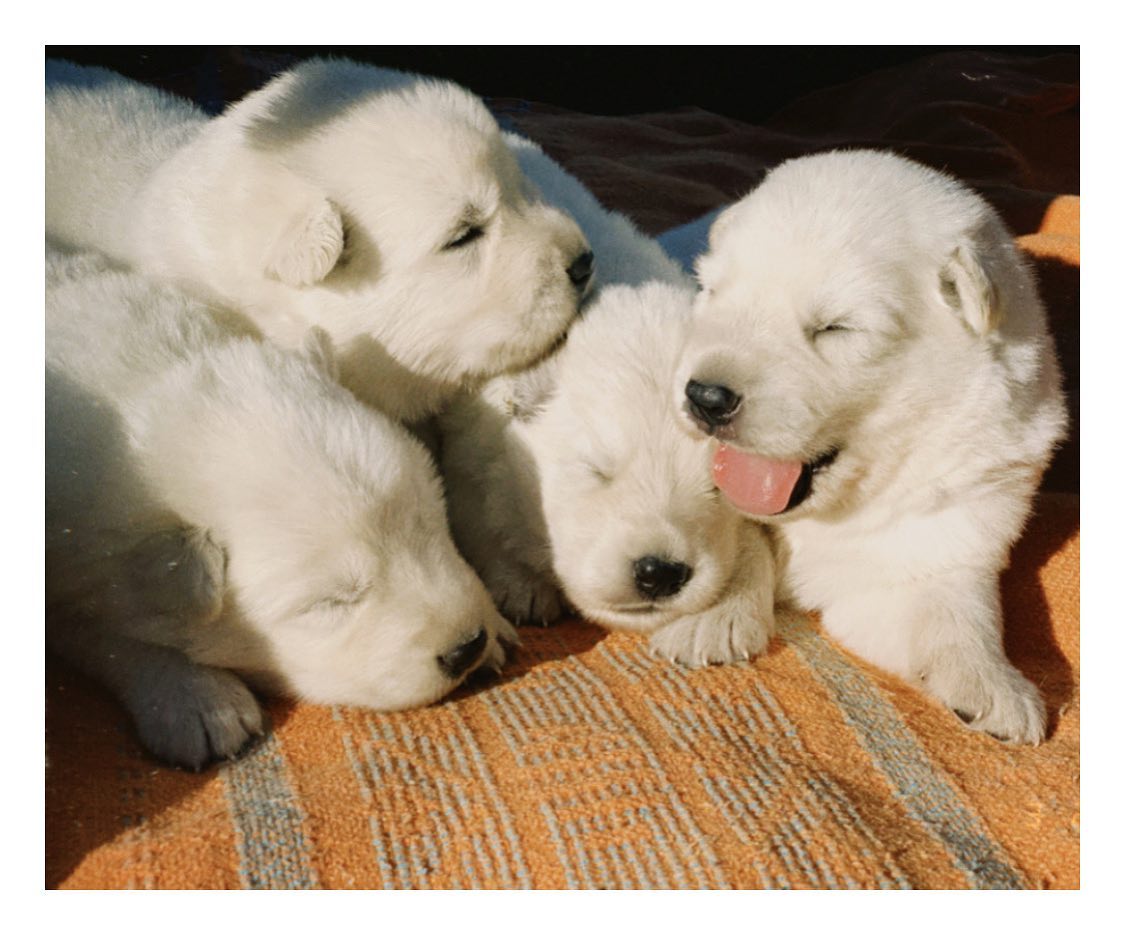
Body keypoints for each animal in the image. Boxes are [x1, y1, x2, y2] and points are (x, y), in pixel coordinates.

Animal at [46, 244, 516, 770]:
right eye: (332, 602)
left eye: (431, 525)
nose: (466, 647)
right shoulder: (68, 550)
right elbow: (104, 634)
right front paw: (199, 700)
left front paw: (495, 625)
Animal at [677, 150, 1068, 742]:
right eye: (711, 292)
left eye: (836, 328)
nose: (705, 397)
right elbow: (738, 532)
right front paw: (711, 616)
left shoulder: (941, 535)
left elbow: (953, 608)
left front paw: (994, 685)